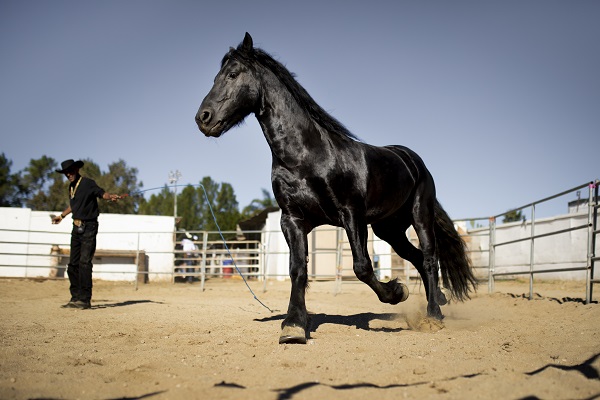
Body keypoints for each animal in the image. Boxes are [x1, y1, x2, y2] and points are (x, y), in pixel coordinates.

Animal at [197, 32, 478, 344]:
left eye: (233, 74)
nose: (203, 118)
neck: (307, 156)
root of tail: (413, 161)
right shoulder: (292, 220)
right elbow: (298, 269)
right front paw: (293, 326)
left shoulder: (351, 213)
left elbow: (362, 267)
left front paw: (396, 292)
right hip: (389, 229)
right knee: (416, 258)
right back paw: (438, 299)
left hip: (420, 215)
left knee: (429, 259)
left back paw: (434, 315)